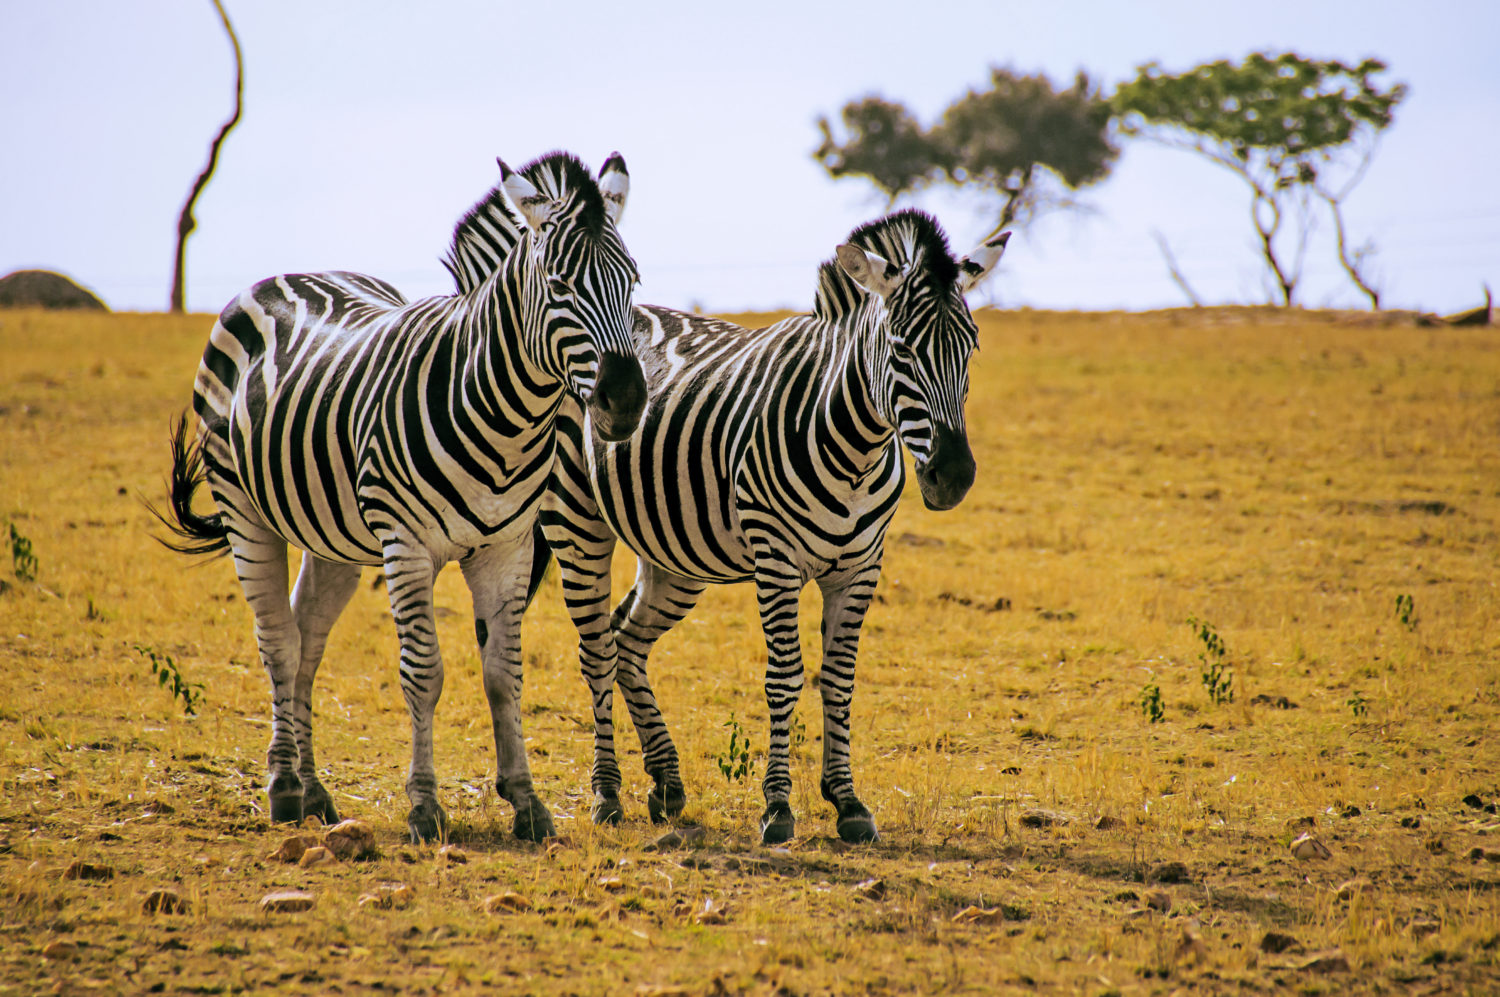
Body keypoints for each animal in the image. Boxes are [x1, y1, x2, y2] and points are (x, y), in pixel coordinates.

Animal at [156, 151, 645, 845]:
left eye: (633, 282)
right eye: (559, 286)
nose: (625, 401)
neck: (500, 411)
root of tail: (292, 275)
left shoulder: (507, 548)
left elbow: (504, 675)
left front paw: (526, 802)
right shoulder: (408, 548)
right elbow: (425, 672)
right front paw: (424, 806)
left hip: (331, 532)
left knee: (307, 641)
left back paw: (314, 791)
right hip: (244, 509)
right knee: (278, 641)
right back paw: (283, 789)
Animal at [528, 208, 1008, 839]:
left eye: (971, 347)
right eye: (902, 350)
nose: (952, 476)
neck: (854, 448)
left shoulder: (861, 566)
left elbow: (839, 677)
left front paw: (848, 802)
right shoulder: (775, 559)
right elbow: (785, 675)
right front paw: (778, 806)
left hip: (674, 551)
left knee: (626, 637)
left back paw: (667, 783)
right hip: (577, 522)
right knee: (597, 650)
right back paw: (607, 793)